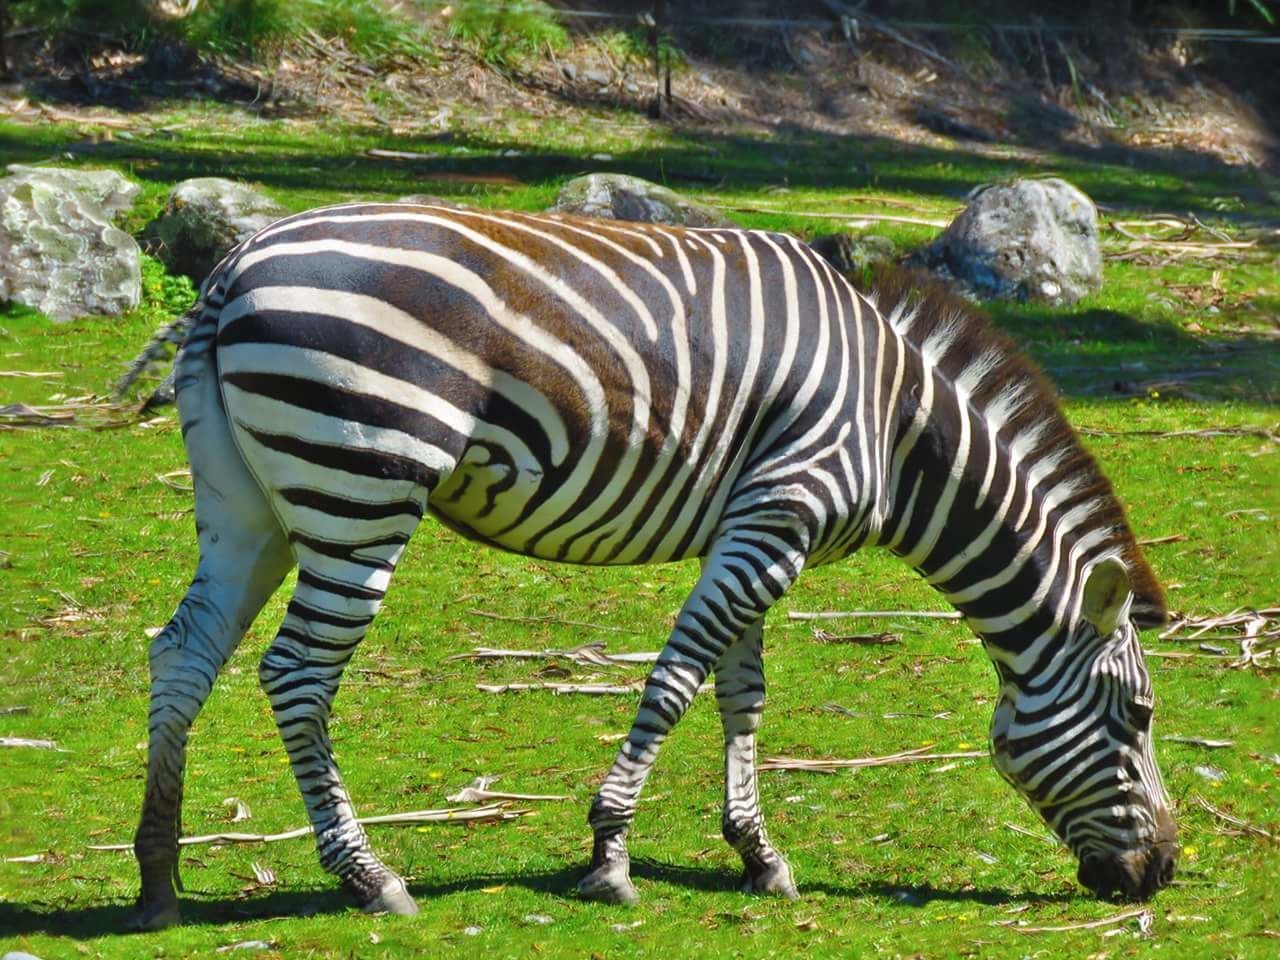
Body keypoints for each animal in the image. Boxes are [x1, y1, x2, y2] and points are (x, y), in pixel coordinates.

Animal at [120, 203, 1177, 931]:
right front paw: (610, 853)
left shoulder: (761, 523)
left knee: (182, 652)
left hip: (248, 505)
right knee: (296, 674)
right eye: (1136, 717)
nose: (1163, 873)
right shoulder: (782, 508)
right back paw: (368, 875)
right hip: (361, 484)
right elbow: (675, 681)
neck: (898, 426)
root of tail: (236, 262)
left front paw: (758, 854)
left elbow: (742, 694)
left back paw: (159, 872)